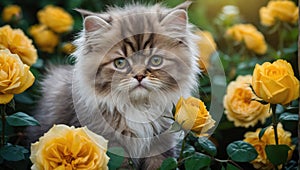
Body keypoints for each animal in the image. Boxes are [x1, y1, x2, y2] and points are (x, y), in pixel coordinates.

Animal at [25, 0, 199, 169]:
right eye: (120, 63)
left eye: (156, 60)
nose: (139, 76)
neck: (138, 108)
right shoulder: (111, 146)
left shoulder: (161, 145)